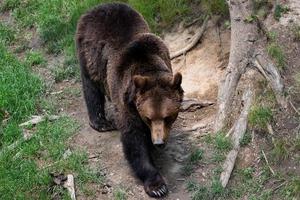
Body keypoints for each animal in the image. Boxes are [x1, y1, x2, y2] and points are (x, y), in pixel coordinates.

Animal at [75, 2, 183, 198]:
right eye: (149, 117)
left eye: (167, 117)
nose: (159, 142)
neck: (147, 65)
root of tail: (97, 7)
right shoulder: (126, 98)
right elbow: (133, 140)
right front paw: (157, 186)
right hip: (89, 52)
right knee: (91, 87)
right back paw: (101, 122)